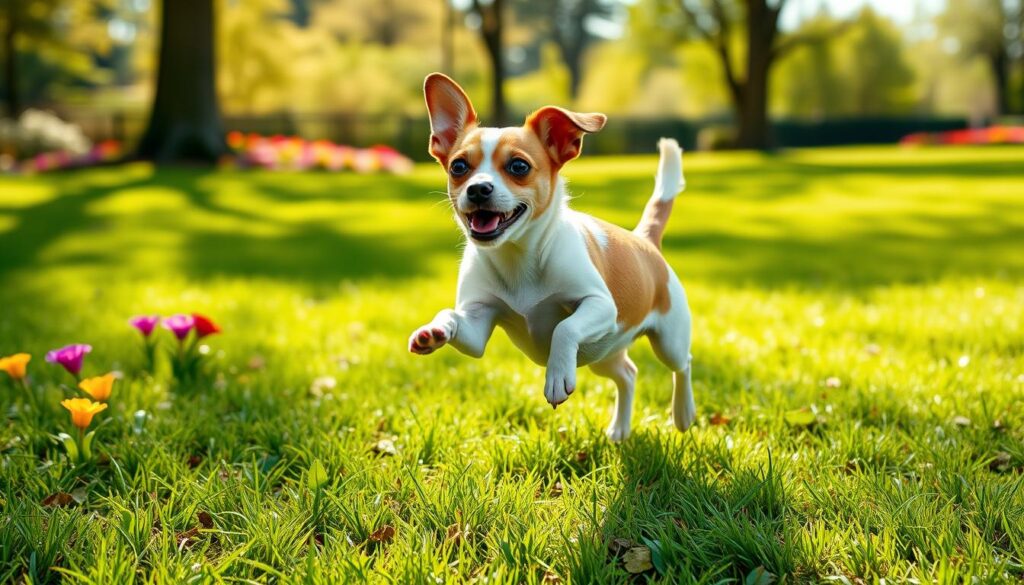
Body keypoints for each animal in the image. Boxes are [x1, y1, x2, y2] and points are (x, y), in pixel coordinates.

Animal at [407, 72, 696, 438]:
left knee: (682, 365)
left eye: (518, 166)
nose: (478, 189)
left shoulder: (601, 305)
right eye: (459, 166)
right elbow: (453, 317)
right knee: (628, 374)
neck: (517, 257)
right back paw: (620, 429)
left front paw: (557, 376)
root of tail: (644, 240)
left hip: (667, 340)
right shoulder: (476, 325)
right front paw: (434, 331)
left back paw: (683, 412)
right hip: (604, 353)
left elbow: (565, 329)